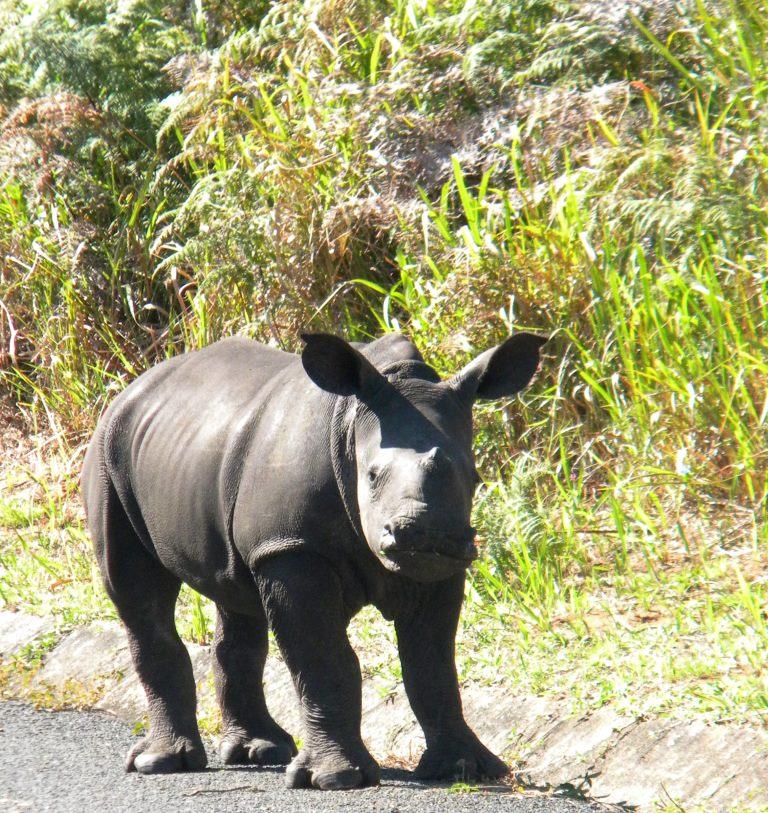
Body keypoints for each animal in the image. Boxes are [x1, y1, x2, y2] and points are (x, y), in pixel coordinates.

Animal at [81, 331, 547, 790]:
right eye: (372, 476)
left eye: (475, 478)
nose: (426, 532)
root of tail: (134, 386)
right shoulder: (291, 548)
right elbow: (324, 660)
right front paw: (336, 779)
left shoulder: (441, 566)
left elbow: (432, 664)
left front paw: (465, 769)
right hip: (109, 452)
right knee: (137, 591)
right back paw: (163, 763)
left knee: (236, 596)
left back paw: (258, 751)